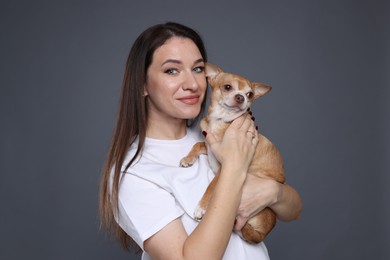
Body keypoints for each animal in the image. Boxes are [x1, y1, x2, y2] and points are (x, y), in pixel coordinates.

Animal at [181, 63, 286, 244]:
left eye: (250, 94)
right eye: (227, 87)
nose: (240, 97)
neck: (220, 121)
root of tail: (262, 234)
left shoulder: (225, 167)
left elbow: (211, 186)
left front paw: (201, 207)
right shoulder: (209, 145)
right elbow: (197, 144)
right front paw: (188, 158)